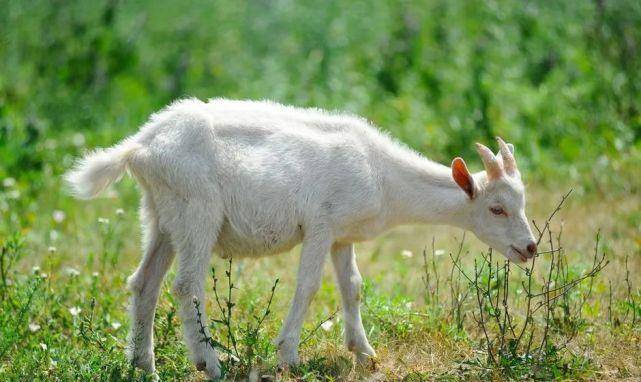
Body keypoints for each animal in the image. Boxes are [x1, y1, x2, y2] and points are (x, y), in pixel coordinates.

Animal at [65, 97, 536, 378]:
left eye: (522, 201)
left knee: (144, 282)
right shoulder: (321, 226)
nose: (530, 247)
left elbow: (353, 287)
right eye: (496, 208)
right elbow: (308, 286)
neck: (382, 176)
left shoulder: (343, 235)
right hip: (197, 210)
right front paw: (288, 356)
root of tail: (140, 147)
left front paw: (364, 352)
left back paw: (144, 366)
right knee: (186, 285)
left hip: (161, 215)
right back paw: (211, 362)